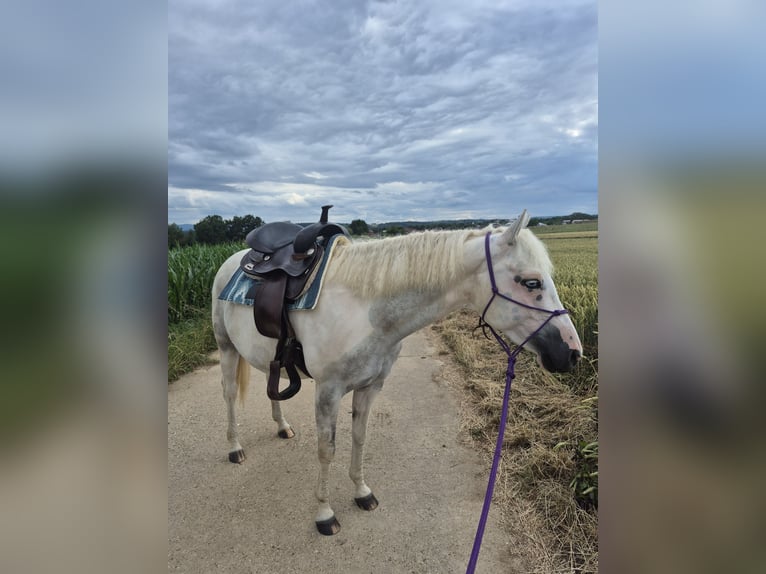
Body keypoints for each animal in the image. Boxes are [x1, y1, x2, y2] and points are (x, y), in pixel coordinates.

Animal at [211, 210, 582, 535]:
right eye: (531, 282)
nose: (572, 352)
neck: (366, 309)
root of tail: (234, 260)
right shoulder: (328, 392)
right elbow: (326, 450)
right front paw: (325, 514)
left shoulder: (371, 386)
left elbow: (360, 437)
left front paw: (362, 492)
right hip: (227, 348)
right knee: (228, 394)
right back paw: (234, 447)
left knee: (269, 386)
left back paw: (282, 426)